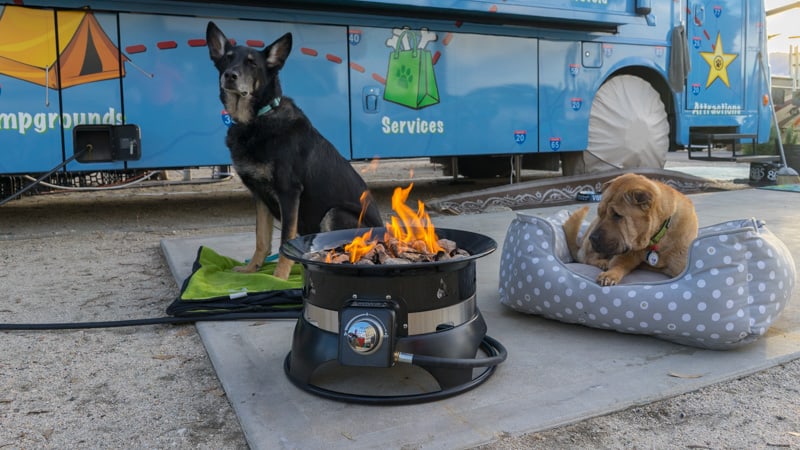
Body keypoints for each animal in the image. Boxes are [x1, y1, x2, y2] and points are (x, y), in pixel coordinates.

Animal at [205, 22, 382, 280]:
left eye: (252, 63)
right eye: (227, 59)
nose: (230, 76)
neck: (258, 118)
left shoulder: (289, 192)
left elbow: (284, 241)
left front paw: (279, 277)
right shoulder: (260, 196)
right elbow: (261, 239)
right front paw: (252, 269)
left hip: (335, 213)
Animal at [564, 172, 700, 284]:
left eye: (617, 215)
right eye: (600, 213)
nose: (593, 238)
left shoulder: (680, 266)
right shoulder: (626, 254)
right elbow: (618, 265)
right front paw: (609, 275)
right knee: (587, 258)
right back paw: (603, 262)